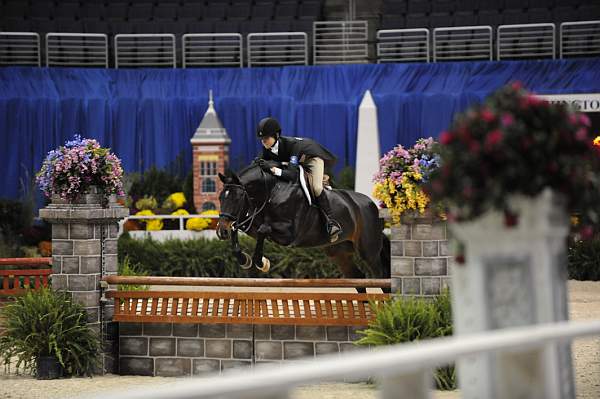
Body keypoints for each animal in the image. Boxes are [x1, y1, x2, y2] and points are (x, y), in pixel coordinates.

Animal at [214, 162, 390, 284]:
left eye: (236, 198)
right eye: (221, 197)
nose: (221, 231)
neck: (272, 191)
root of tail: (371, 204)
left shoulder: (290, 235)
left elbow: (263, 229)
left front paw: (261, 263)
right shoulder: (252, 222)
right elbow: (239, 228)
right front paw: (244, 259)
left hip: (368, 252)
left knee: (379, 276)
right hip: (339, 252)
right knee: (357, 276)